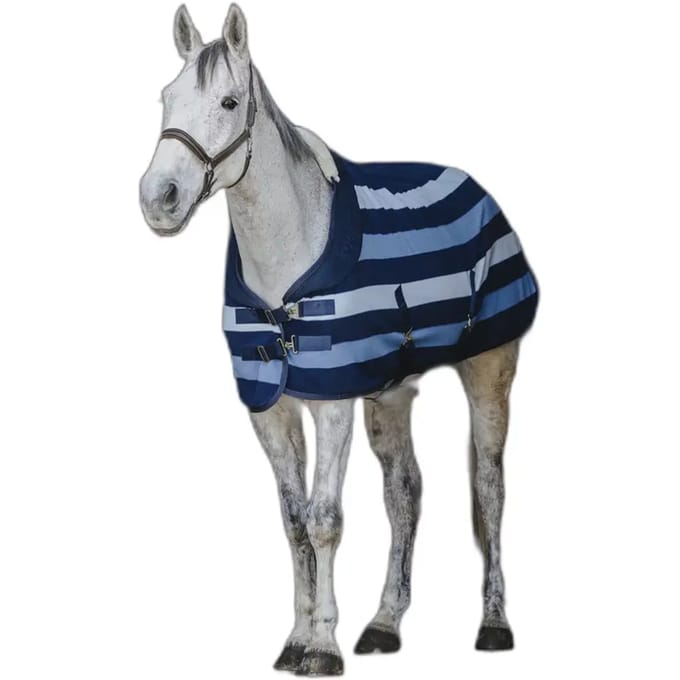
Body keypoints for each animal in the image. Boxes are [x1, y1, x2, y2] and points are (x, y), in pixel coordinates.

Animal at [139, 4, 538, 676]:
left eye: (227, 101)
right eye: (166, 98)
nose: (157, 199)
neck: (286, 258)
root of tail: (476, 185)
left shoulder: (332, 405)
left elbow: (325, 519)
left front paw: (322, 646)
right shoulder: (270, 411)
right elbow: (294, 521)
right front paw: (297, 638)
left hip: (489, 372)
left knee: (490, 489)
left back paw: (493, 624)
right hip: (390, 394)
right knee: (405, 493)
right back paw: (384, 624)